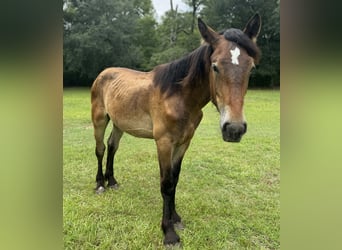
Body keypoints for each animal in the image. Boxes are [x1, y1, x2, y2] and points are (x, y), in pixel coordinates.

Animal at [91, 14, 262, 245]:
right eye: (215, 66)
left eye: (251, 67)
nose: (234, 129)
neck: (178, 97)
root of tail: (103, 73)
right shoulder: (164, 143)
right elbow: (166, 183)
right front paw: (169, 232)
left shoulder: (183, 143)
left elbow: (175, 179)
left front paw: (176, 218)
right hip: (99, 119)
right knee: (100, 149)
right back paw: (100, 184)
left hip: (119, 124)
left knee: (112, 146)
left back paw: (112, 181)